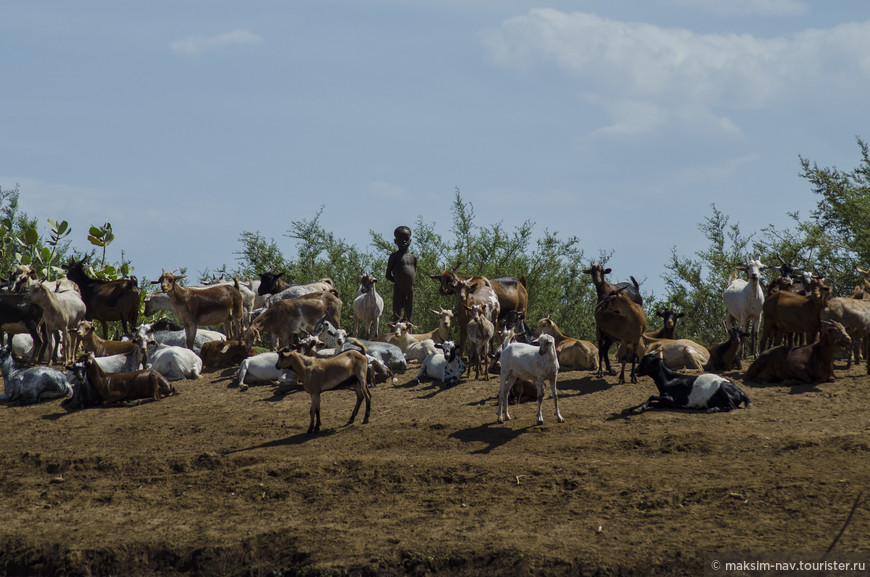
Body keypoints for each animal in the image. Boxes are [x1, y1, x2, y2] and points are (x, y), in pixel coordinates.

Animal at [624, 348, 752, 412]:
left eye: (647, 361)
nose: (636, 370)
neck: (670, 379)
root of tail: (740, 391)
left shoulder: (673, 400)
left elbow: (652, 396)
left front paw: (638, 409)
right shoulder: (665, 402)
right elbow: (653, 402)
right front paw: (638, 407)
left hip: (722, 390)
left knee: (731, 407)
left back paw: (712, 409)